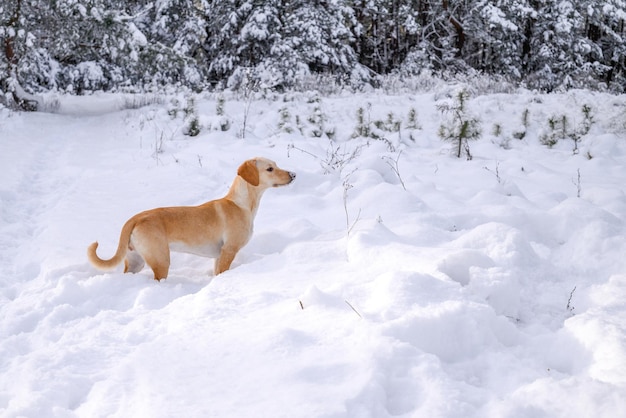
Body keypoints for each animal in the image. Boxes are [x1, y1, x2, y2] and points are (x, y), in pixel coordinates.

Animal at [86, 157, 296, 280]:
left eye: (276, 165)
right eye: (270, 169)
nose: (293, 174)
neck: (241, 203)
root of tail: (135, 218)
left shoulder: (219, 256)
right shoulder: (229, 251)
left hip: (136, 261)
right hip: (161, 260)